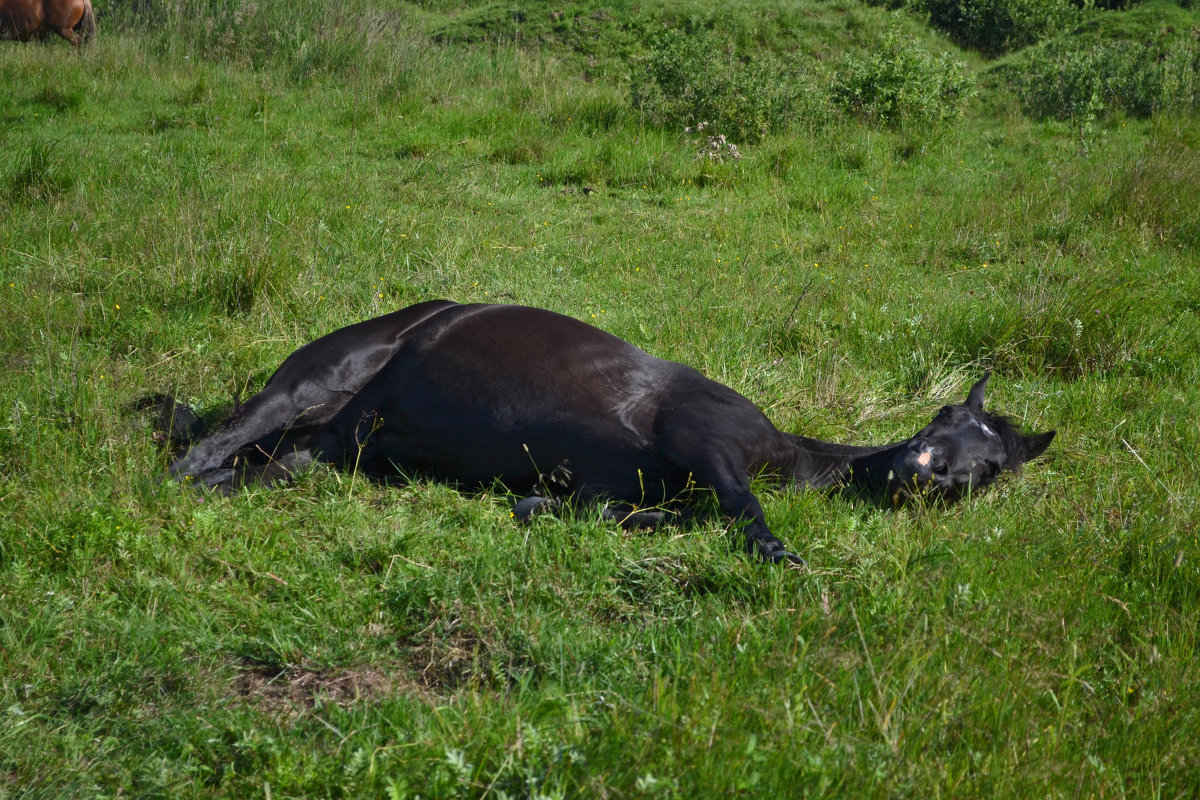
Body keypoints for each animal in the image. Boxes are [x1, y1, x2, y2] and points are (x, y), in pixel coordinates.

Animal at [145, 297, 1056, 566]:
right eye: (950, 415)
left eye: (995, 466)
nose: (933, 472)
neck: (783, 449)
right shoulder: (704, 439)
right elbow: (743, 511)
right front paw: (781, 558)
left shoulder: (609, 484)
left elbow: (613, 511)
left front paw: (541, 510)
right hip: (303, 390)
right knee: (194, 460)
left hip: (320, 452)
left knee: (238, 474)